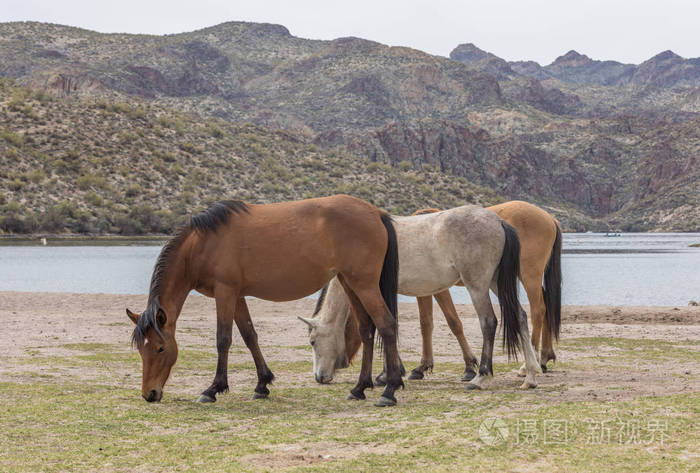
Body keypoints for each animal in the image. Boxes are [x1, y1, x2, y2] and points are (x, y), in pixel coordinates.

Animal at [123, 195, 402, 406]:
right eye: (141, 349)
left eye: (160, 348)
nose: (149, 394)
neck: (201, 245)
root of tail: (376, 212)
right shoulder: (237, 296)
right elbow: (249, 336)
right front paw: (262, 384)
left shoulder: (225, 293)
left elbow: (223, 339)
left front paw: (213, 389)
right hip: (349, 283)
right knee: (367, 329)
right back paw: (360, 388)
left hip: (364, 285)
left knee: (386, 325)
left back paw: (389, 390)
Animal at [298, 205, 544, 392]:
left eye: (312, 341)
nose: (319, 377)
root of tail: (499, 221)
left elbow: (385, 327)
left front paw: (388, 375)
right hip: (495, 282)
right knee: (520, 316)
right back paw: (531, 375)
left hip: (478, 286)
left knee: (489, 322)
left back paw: (481, 377)